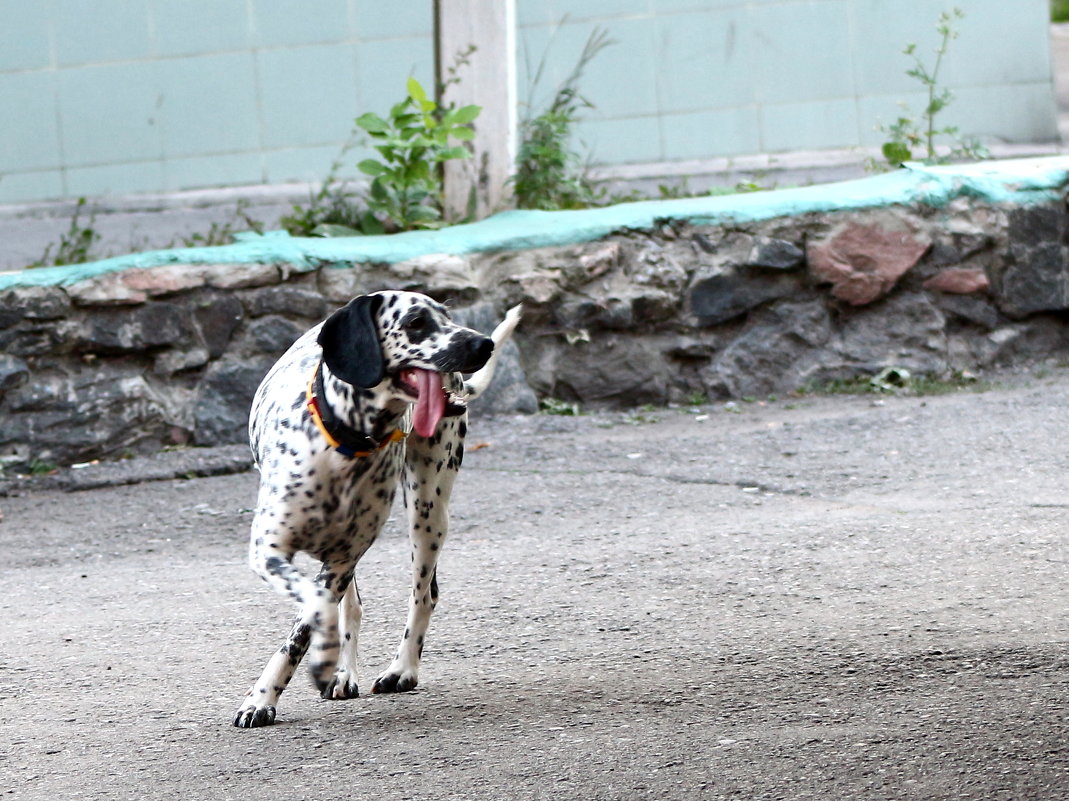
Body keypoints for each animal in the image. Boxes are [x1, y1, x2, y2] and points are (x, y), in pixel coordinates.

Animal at [234, 290, 521, 727]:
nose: (482, 343)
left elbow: (307, 626)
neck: (342, 447)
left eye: (447, 314)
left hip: (427, 511)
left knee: (424, 593)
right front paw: (264, 697)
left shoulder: (341, 561)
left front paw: (267, 694)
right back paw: (344, 673)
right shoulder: (271, 552)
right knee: (351, 607)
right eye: (416, 322)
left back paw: (402, 669)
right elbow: (316, 614)